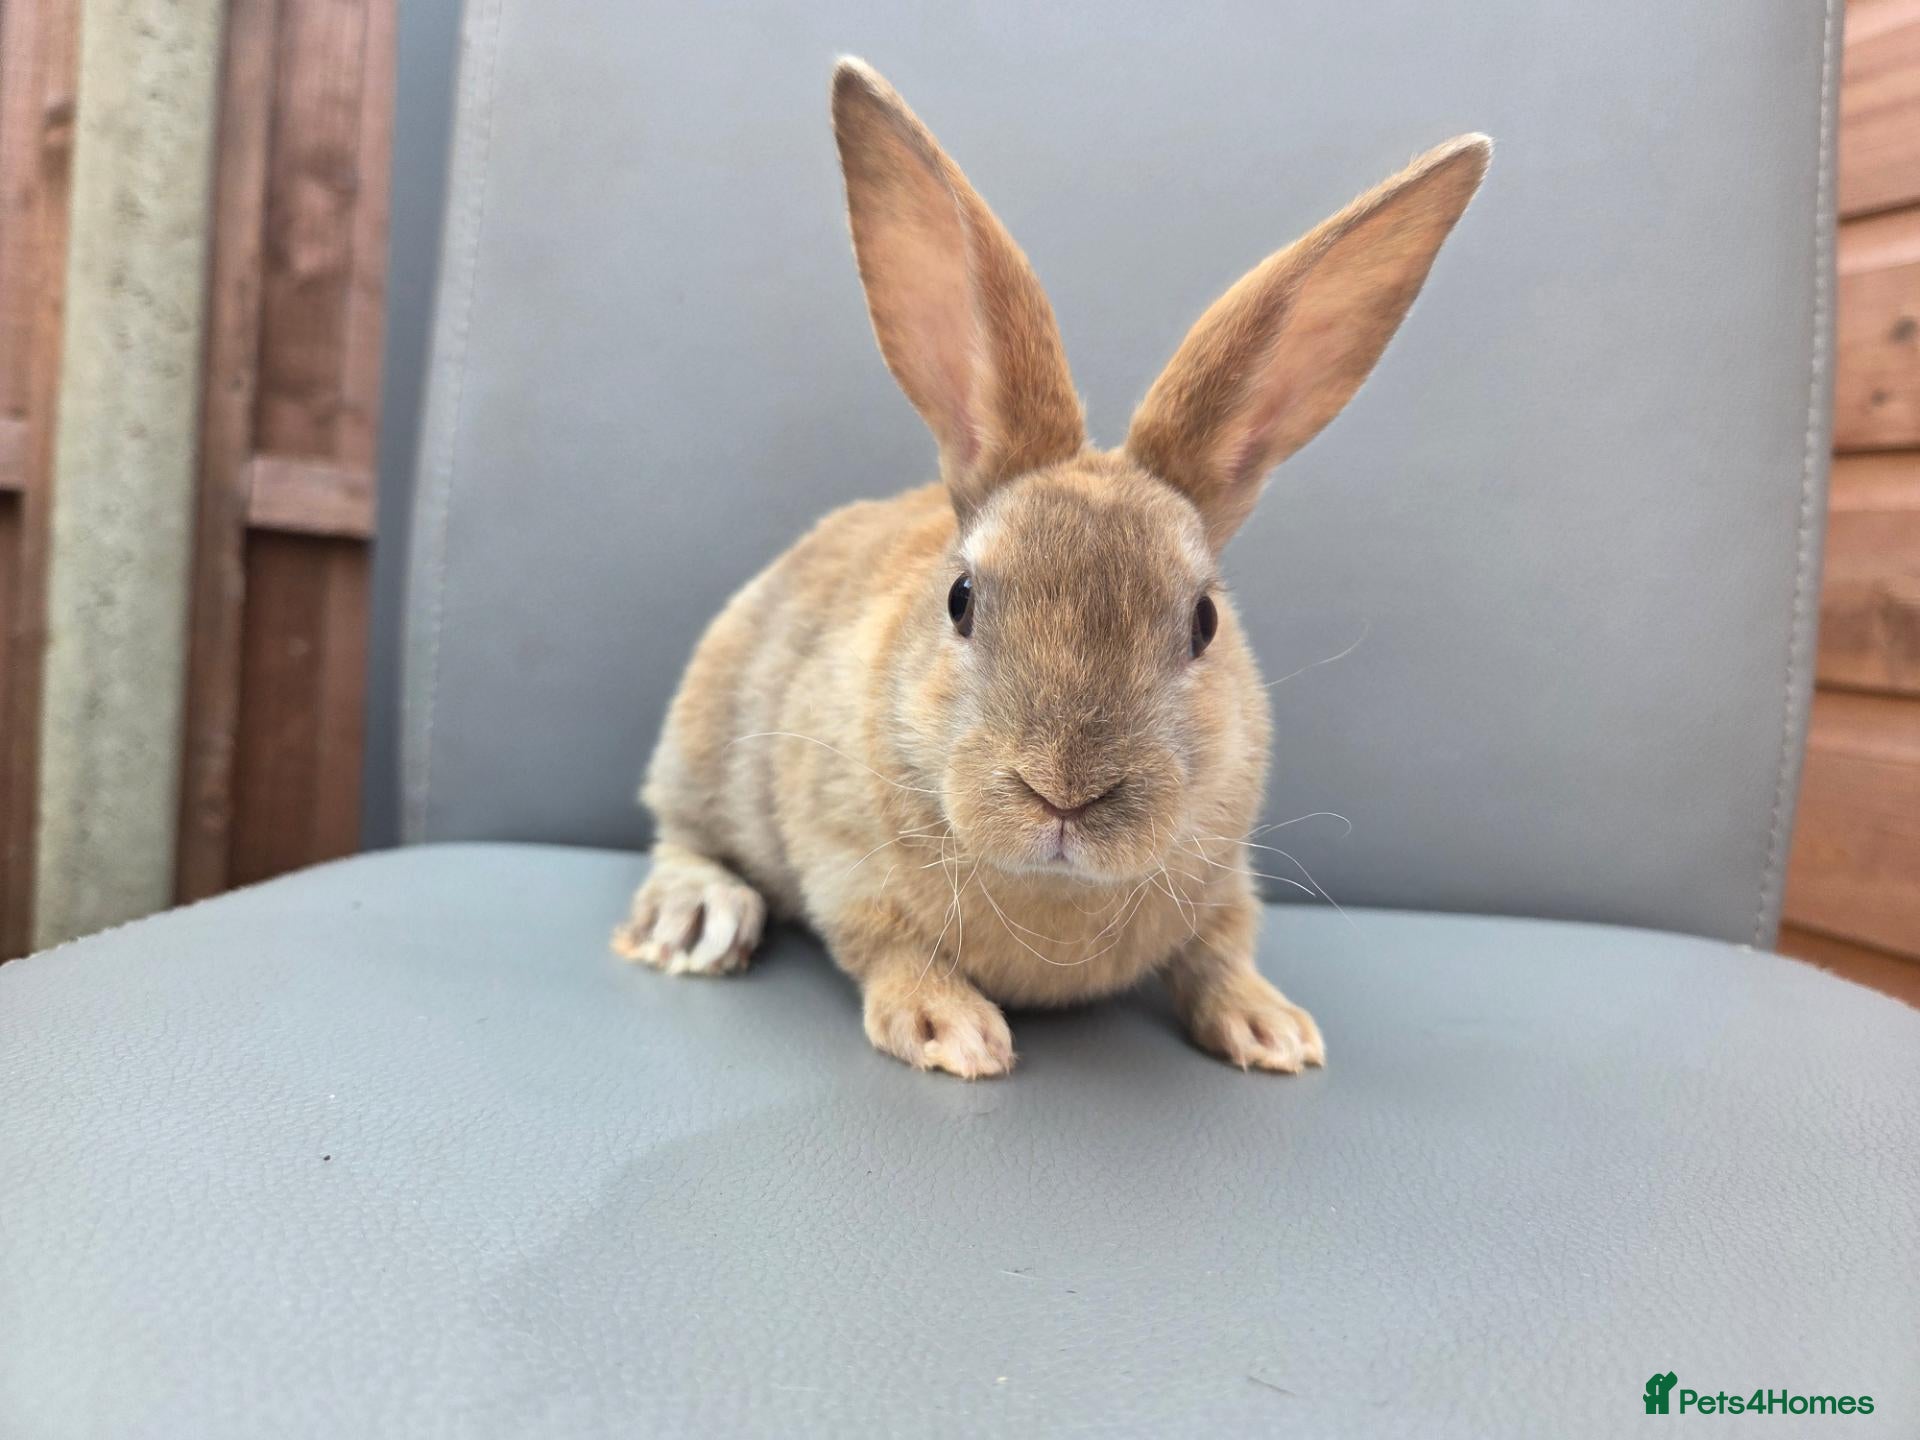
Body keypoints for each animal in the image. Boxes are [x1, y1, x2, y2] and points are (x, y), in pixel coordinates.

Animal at [613, 57, 1489, 1079]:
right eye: (960, 600)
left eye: (1204, 623)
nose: (1065, 791)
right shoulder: (839, 855)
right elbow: (887, 945)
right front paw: (952, 1031)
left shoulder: (1227, 881)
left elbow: (1222, 951)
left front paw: (1274, 1031)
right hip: (703, 743)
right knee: (683, 835)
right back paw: (695, 919)